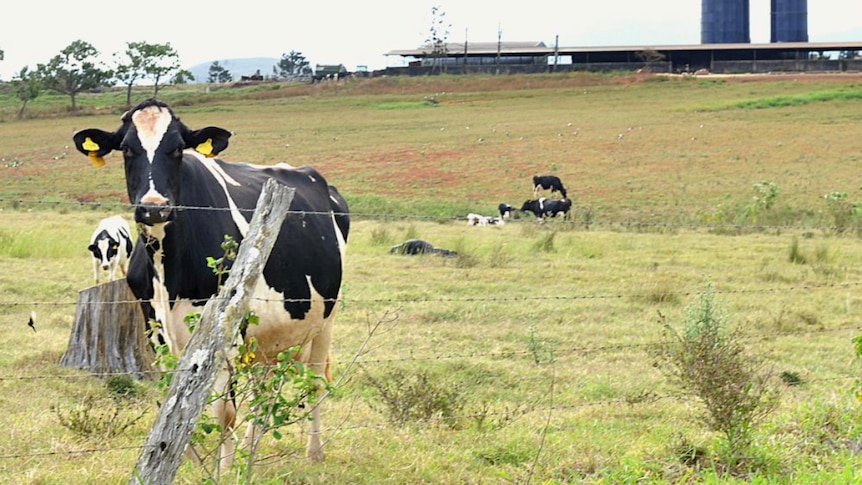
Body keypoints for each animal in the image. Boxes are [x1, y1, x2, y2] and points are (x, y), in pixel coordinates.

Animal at [71, 98, 348, 466]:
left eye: (177, 149)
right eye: (127, 149)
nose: (154, 208)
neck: (168, 270)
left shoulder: (224, 327)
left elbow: (223, 411)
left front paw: (224, 468)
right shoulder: (154, 326)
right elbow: (172, 399)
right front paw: (178, 458)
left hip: (325, 319)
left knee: (315, 380)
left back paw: (313, 452)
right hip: (271, 332)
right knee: (264, 388)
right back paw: (250, 449)